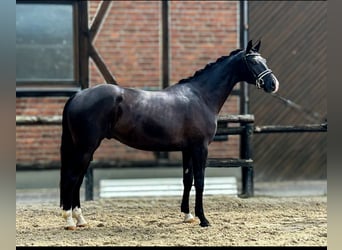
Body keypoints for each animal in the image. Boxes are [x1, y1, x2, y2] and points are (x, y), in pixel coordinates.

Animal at [59, 40, 278, 229]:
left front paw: (188, 215)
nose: (273, 84)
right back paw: (70, 220)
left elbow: (187, 180)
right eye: (253, 61)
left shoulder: (187, 149)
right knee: (72, 178)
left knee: (77, 180)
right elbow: (200, 181)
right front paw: (203, 219)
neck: (201, 96)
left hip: (85, 150)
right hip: (85, 148)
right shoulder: (200, 148)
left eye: (265, 61)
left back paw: (80, 219)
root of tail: (78, 95)